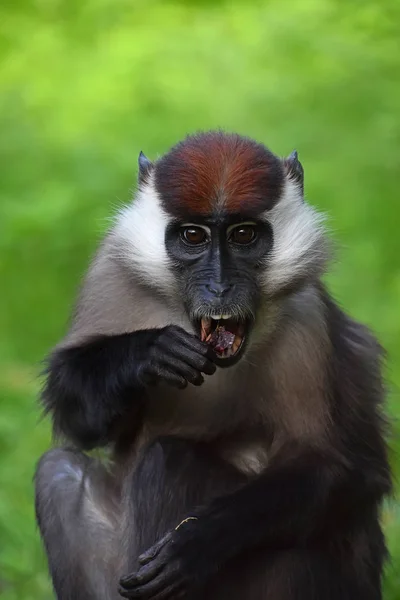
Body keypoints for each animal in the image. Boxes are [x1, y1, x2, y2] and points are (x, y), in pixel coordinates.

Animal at [33, 132, 390, 600]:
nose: (220, 287)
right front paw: (146, 353)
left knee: (167, 458)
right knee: (59, 473)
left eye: (243, 235)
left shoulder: (306, 316)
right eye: (193, 236)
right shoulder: (112, 273)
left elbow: (329, 466)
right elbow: (84, 425)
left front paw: (196, 542)